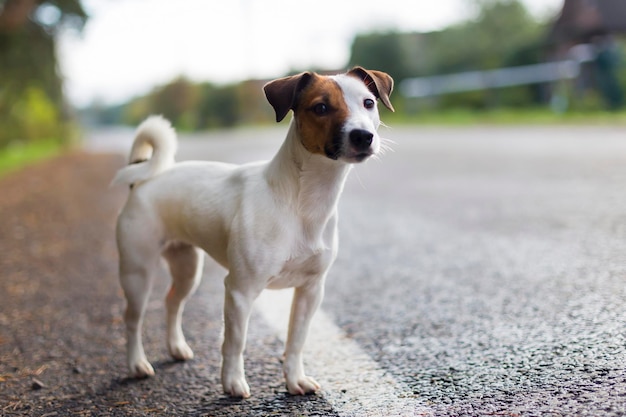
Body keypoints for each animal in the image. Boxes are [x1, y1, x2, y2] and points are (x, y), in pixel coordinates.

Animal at [111, 66, 392, 396]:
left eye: (368, 103)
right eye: (321, 107)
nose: (363, 135)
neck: (301, 201)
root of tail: (143, 181)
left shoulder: (311, 291)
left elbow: (296, 340)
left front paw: (294, 379)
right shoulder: (239, 291)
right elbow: (235, 342)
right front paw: (232, 382)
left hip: (187, 268)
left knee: (172, 303)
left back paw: (176, 348)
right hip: (137, 273)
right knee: (133, 319)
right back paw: (136, 363)